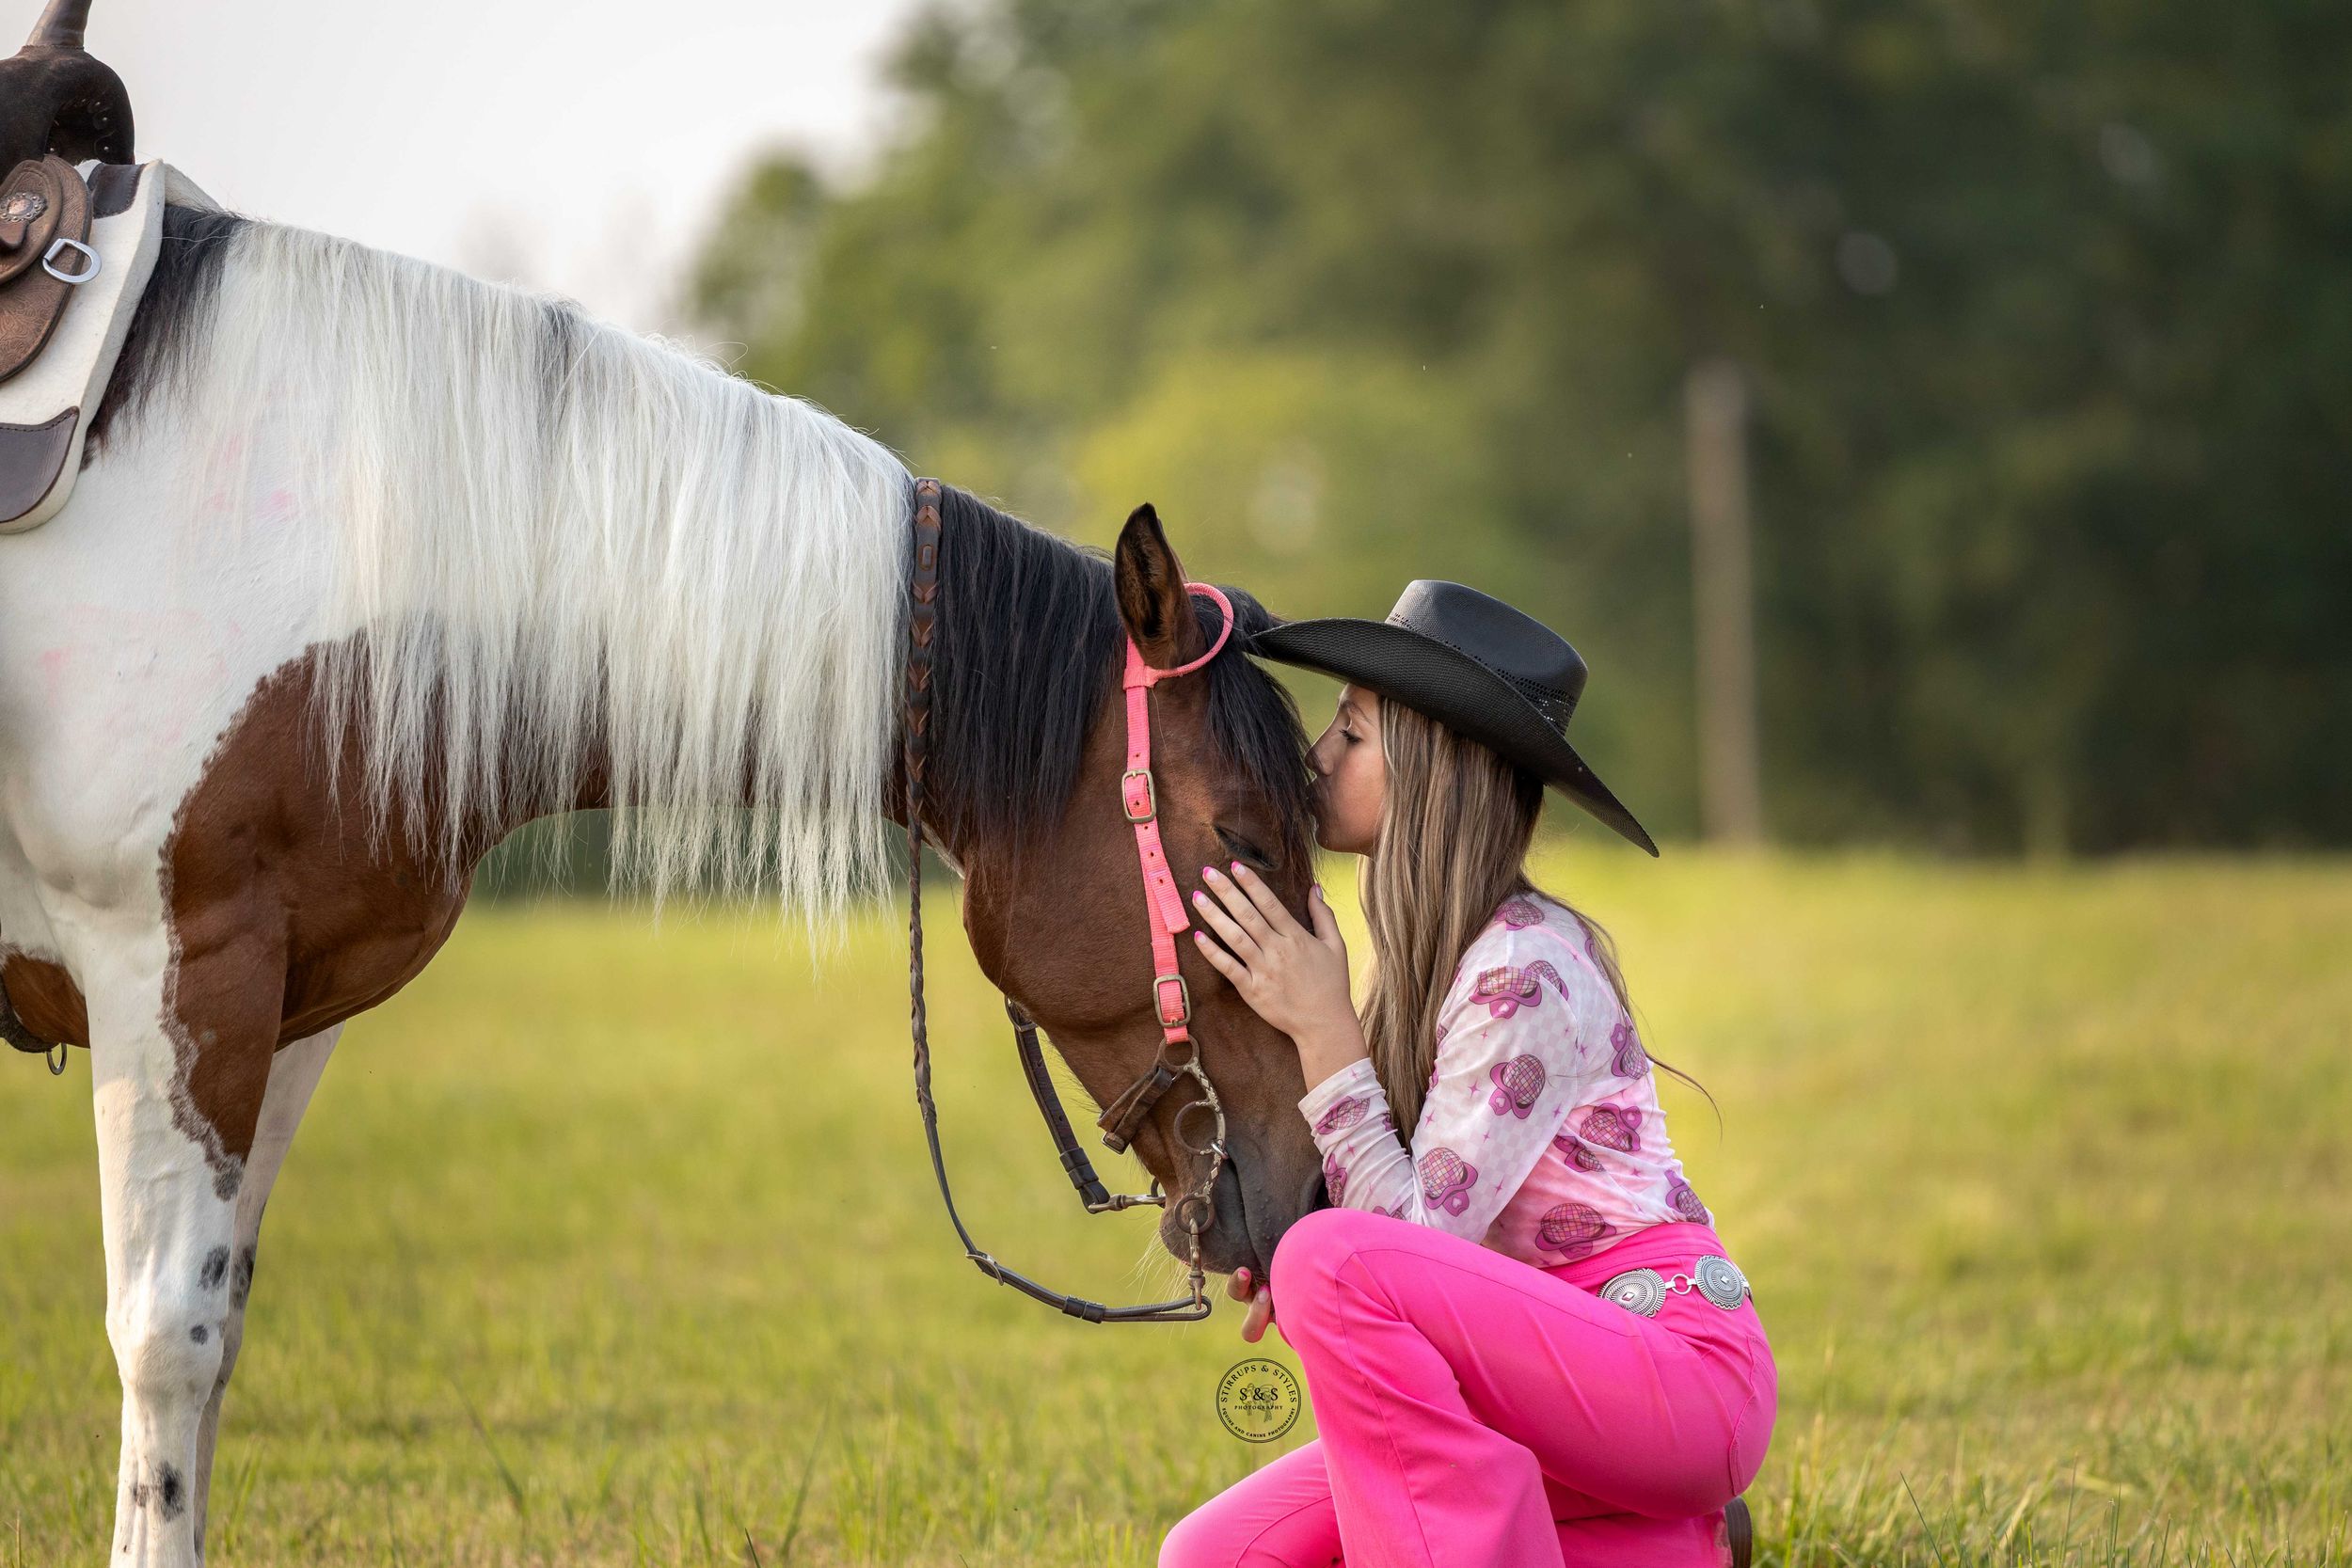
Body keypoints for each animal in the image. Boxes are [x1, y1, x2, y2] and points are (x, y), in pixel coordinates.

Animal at [0, 194, 1334, 1565]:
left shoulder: (283, 1007)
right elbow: (167, 1336)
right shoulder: (168, 969)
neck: (312, 536)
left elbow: (220, 1334)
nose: (1310, 1183)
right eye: (1244, 838)